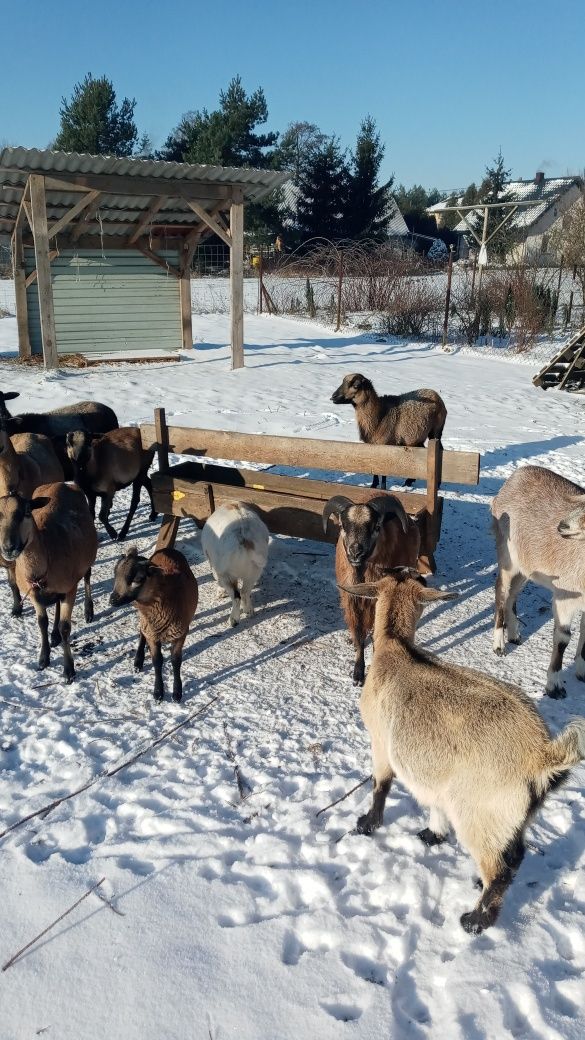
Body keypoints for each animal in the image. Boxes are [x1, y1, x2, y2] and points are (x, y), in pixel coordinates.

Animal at [0, 480, 97, 682]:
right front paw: (43, 658)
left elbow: (65, 627)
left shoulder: (70, 588)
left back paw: (88, 611)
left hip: (87, 556)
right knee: (56, 603)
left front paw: (68, 670)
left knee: (87, 576)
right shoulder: (34, 594)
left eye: (26, 511)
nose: (9, 548)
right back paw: (54, 636)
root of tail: (61, 483)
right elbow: (41, 622)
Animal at [109, 544, 197, 707]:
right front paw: (158, 693)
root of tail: (167, 549)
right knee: (141, 632)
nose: (112, 600)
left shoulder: (180, 633)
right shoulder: (152, 633)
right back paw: (138, 661)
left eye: (138, 579)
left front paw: (177, 693)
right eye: (115, 574)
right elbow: (157, 661)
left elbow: (176, 661)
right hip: (146, 625)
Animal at [322, 492, 418, 686]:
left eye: (377, 527)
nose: (355, 552)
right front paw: (358, 674)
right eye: (342, 526)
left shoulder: (377, 603)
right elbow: (359, 635)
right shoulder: (351, 602)